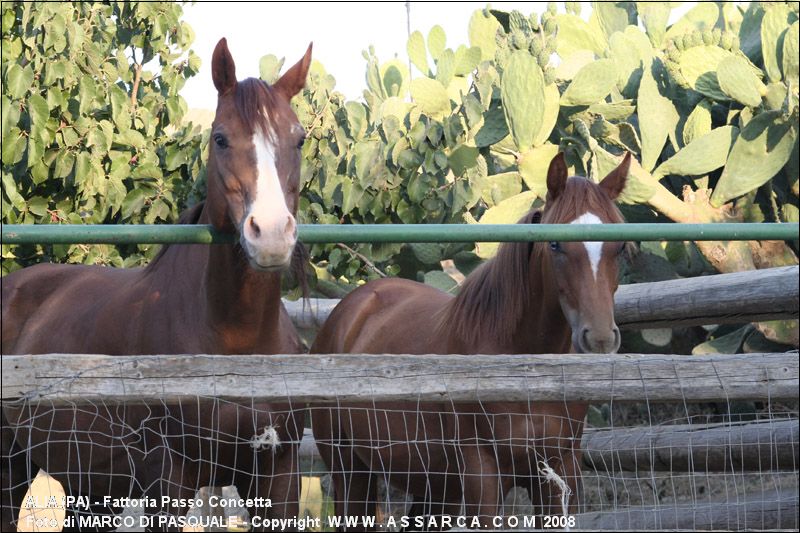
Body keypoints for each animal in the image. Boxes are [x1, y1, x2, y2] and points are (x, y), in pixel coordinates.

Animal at [0, 39, 312, 528]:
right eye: (220, 138)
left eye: (298, 138)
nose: (272, 235)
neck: (237, 345)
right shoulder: (168, 480)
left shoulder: (278, 475)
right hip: (11, 467)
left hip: (91, 484)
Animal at [312, 152, 632, 528]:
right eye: (554, 243)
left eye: (620, 246)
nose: (600, 337)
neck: (526, 368)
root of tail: (350, 309)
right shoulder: (484, 475)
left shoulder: (558, 472)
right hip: (350, 472)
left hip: (435, 489)